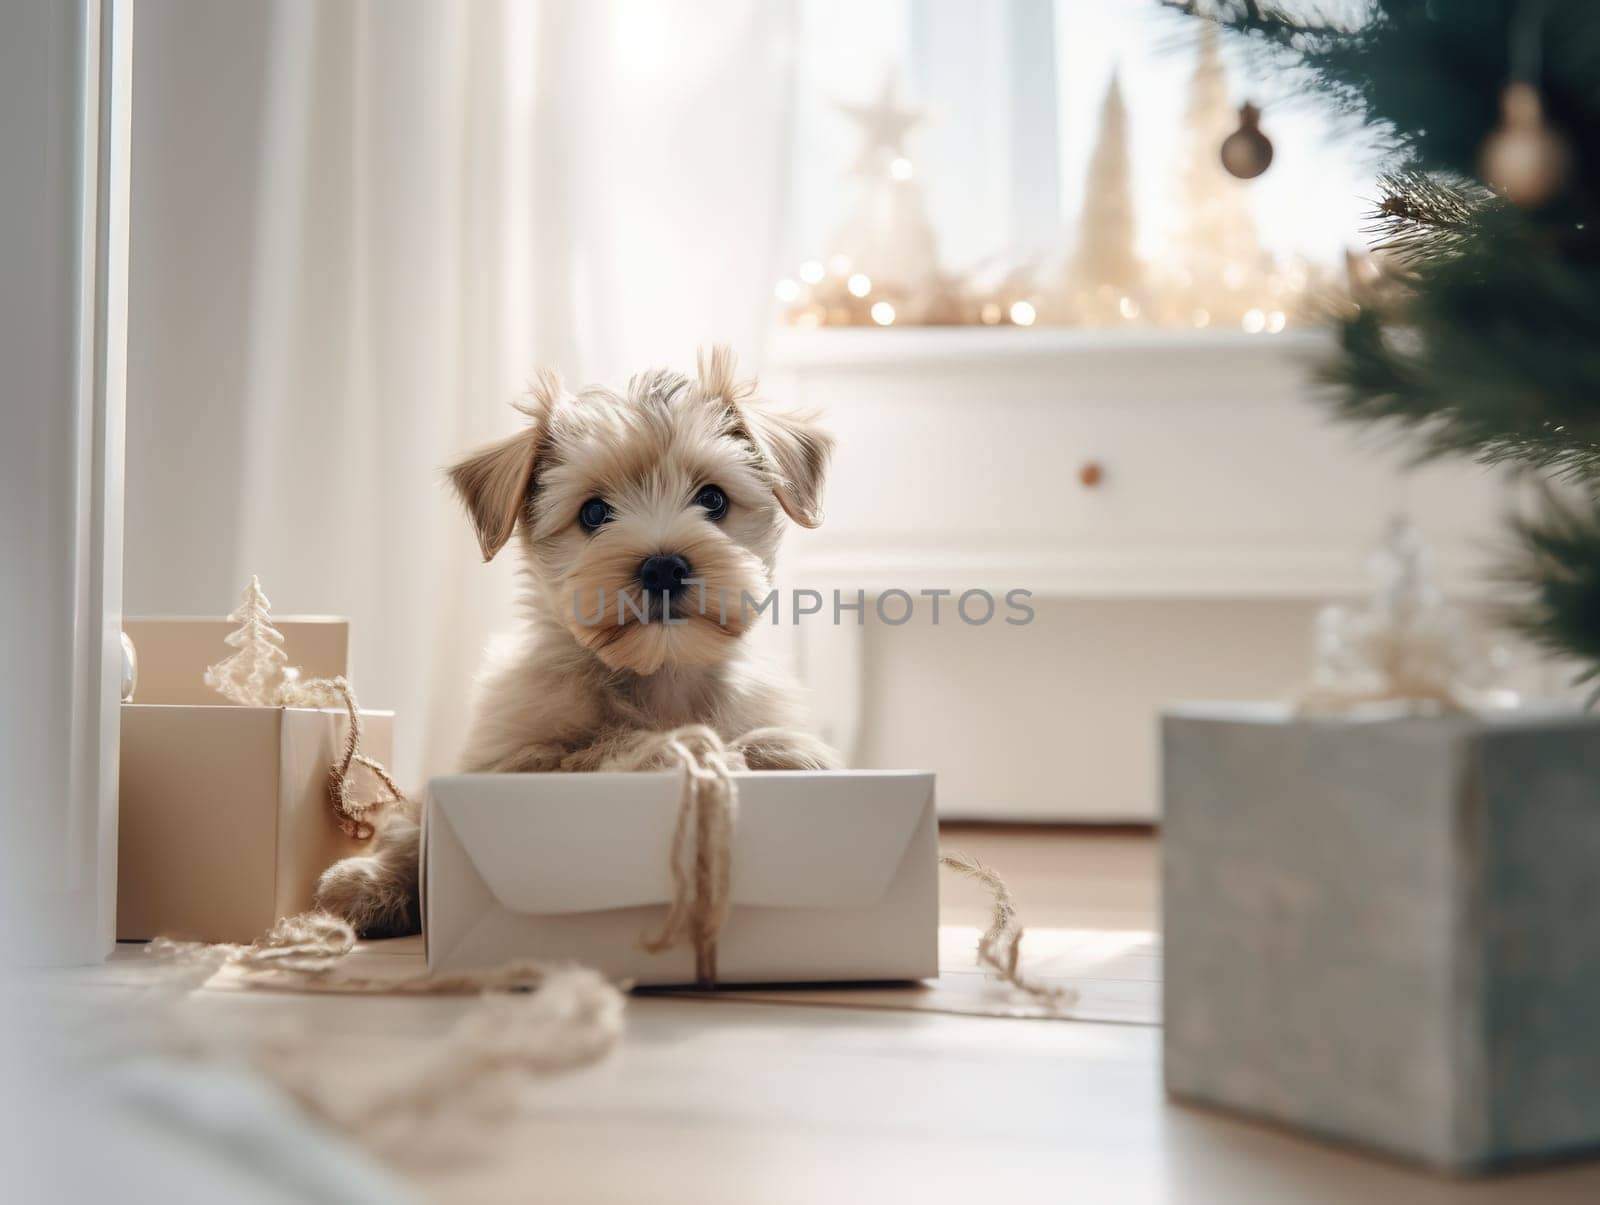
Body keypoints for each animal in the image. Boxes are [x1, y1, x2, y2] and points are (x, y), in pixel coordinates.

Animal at [310, 342, 838, 934]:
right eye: (594, 512)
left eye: (714, 501)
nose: (663, 567)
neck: (660, 674)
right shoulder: (508, 763)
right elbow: (590, 751)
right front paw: (678, 748)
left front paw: (787, 751)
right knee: (411, 830)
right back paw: (362, 885)